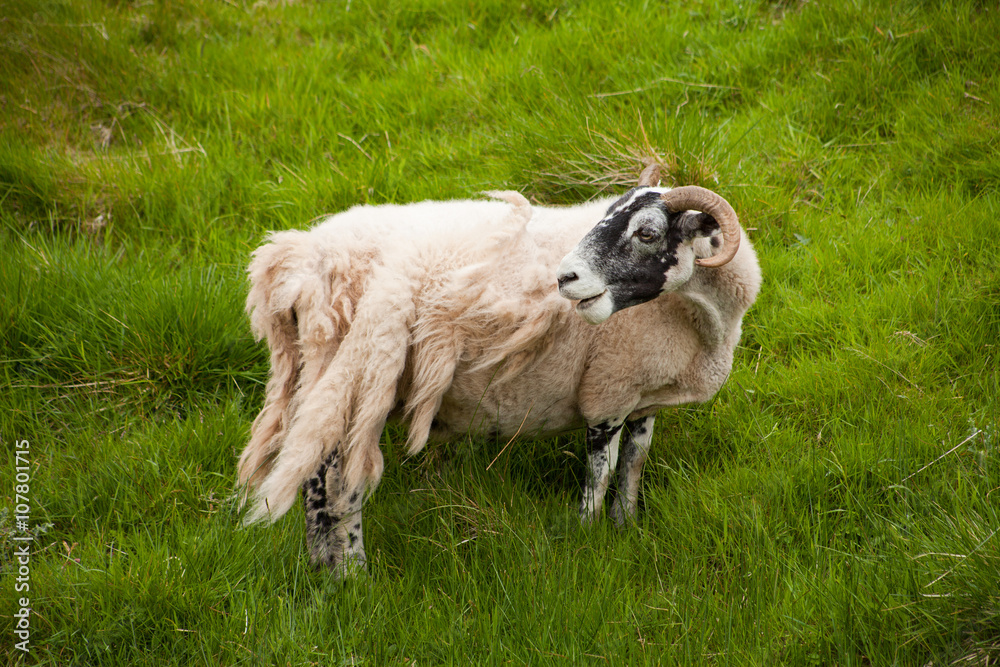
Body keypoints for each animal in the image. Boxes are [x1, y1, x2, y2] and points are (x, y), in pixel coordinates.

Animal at [236, 164, 756, 576]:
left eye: (647, 233)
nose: (564, 277)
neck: (703, 318)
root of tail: (295, 261)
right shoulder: (607, 393)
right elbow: (600, 475)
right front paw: (588, 536)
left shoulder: (641, 396)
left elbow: (632, 468)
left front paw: (624, 527)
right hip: (352, 375)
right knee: (332, 484)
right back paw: (349, 575)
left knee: (315, 479)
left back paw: (323, 570)